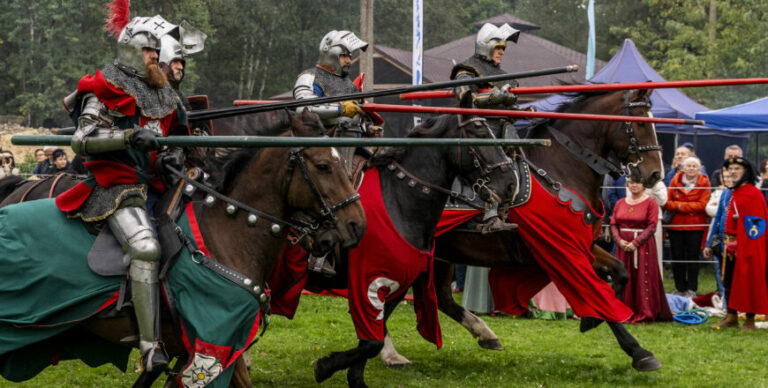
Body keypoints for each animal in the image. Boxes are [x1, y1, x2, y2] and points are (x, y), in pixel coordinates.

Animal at [382, 88, 664, 372]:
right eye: (641, 123)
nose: (655, 174)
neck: (561, 169)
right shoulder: (563, 251)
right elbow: (595, 293)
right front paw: (639, 352)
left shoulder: (581, 245)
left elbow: (619, 273)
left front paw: (591, 321)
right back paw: (389, 352)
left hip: (440, 254)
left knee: (441, 297)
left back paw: (485, 334)